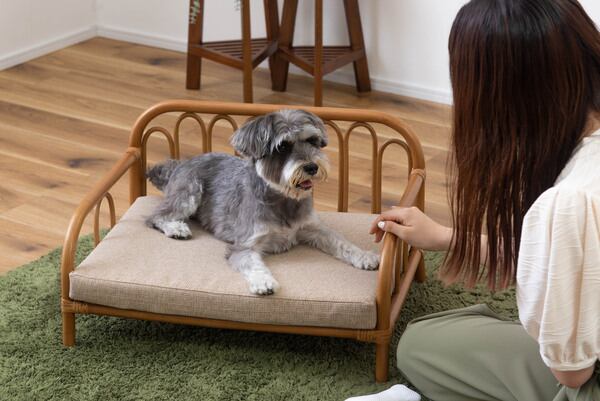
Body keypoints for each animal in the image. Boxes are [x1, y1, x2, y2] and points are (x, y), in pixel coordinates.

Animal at [146, 109, 379, 295]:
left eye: (312, 140)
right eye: (283, 147)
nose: (312, 167)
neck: (284, 199)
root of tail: (179, 165)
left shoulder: (314, 228)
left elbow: (341, 241)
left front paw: (365, 256)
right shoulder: (245, 245)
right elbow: (252, 263)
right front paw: (264, 282)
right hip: (189, 193)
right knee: (155, 216)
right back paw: (176, 228)